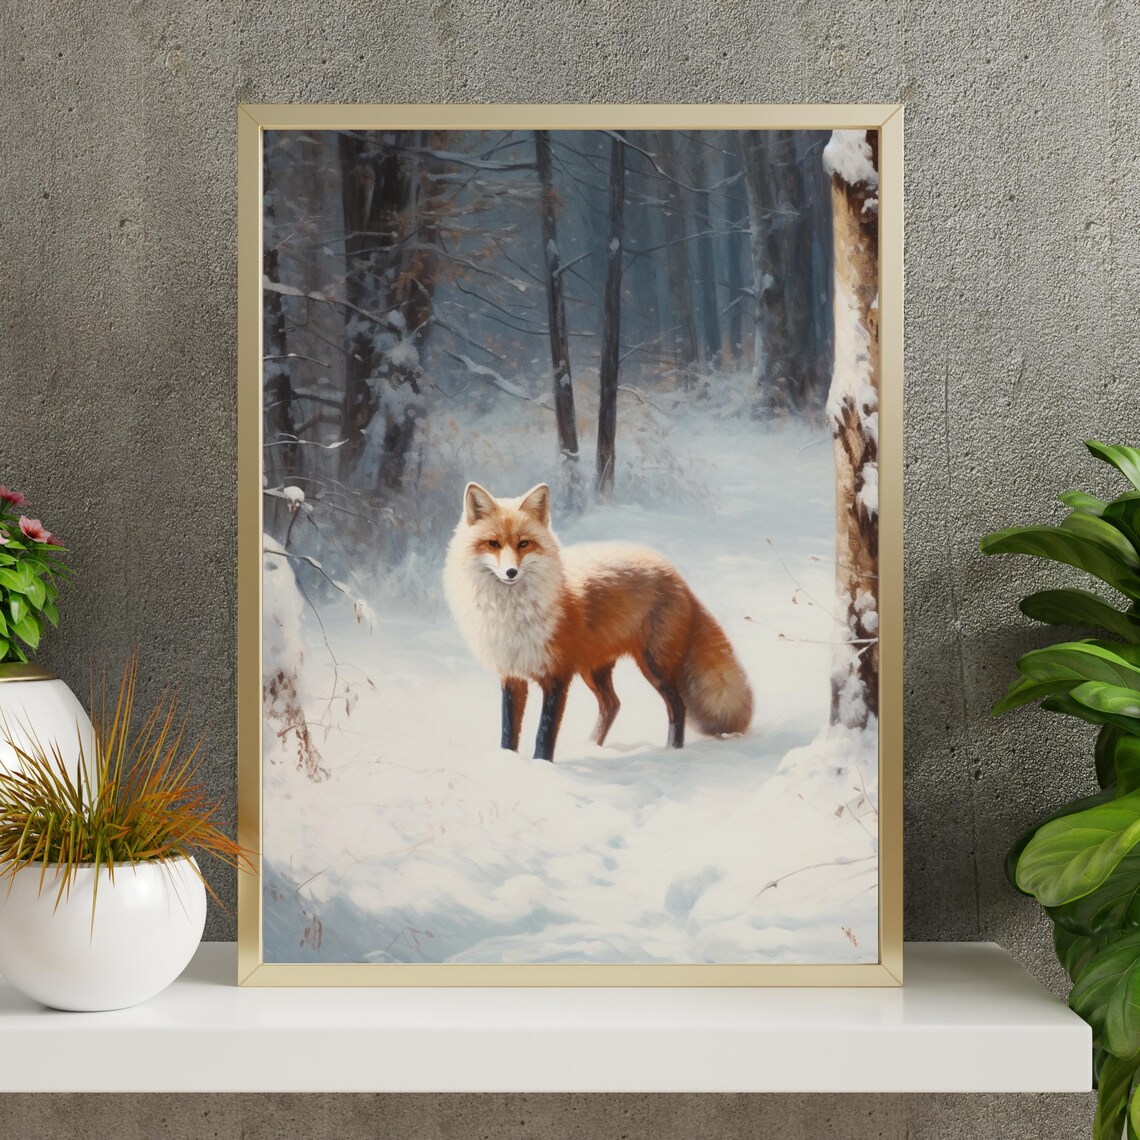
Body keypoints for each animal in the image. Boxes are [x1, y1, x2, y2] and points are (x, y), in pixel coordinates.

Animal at [442, 481, 753, 762]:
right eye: (493, 543)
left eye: (524, 544)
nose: (510, 572)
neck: (513, 613)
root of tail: (674, 574)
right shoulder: (512, 674)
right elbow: (509, 731)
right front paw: (510, 762)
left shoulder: (557, 674)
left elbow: (544, 733)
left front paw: (542, 766)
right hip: (594, 669)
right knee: (612, 704)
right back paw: (593, 746)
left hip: (654, 665)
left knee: (677, 706)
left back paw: (671, 752)